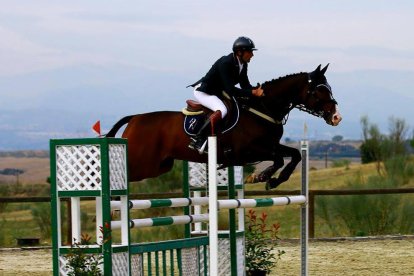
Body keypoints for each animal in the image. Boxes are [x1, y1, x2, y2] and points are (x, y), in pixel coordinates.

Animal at [105, 64, 342, 190]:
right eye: (319, 91)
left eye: (329, 88)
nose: (337, 117)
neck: (263, 108)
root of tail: (135, 118)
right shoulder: (248, 151)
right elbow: (278, 159)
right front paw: (260, 177)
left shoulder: (270, 146)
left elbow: (294, 155)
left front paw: (274, 181)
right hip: (141, 162)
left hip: (158, 166)